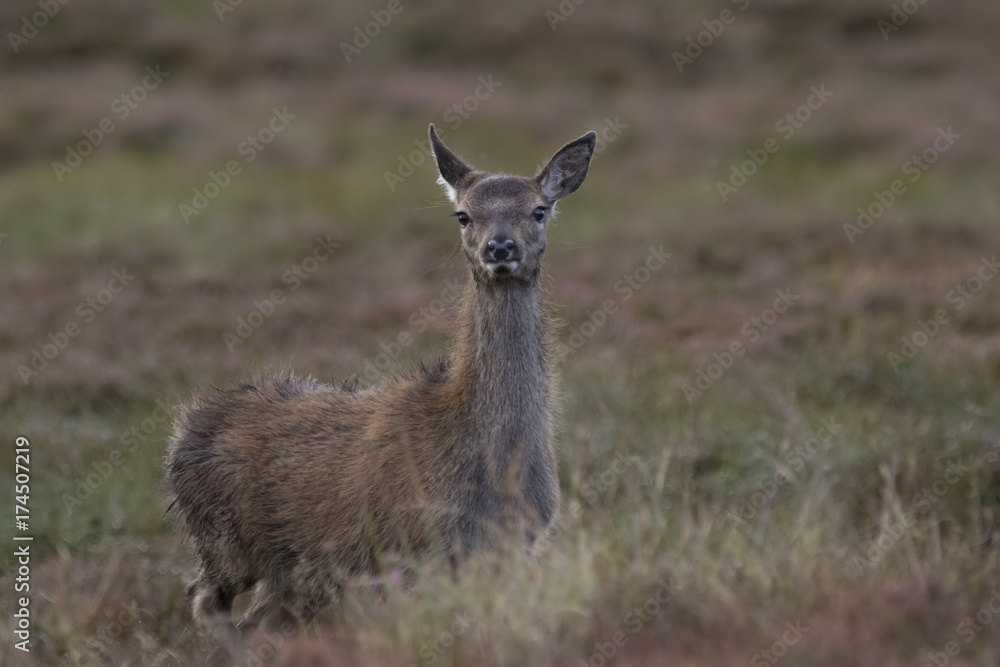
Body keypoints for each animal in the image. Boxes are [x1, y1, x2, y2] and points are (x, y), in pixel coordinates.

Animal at [166, 122, 592, 640]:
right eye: (463, 215)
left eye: (538, 209)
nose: (500, 247)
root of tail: (183, 430)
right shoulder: (415, 546)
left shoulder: (515, 542)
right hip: (225, 542)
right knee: (206, 602)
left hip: (289, 572)